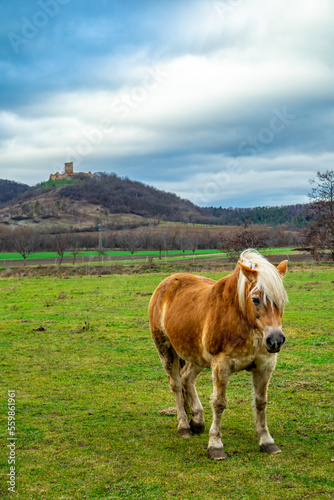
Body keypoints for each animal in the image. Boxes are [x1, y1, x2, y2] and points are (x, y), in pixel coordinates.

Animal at [147, 250, 288, 460]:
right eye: (255, 299)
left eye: (282, 300)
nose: (275, 340)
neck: (240, 319)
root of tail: (167, 282)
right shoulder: (221, 365)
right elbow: (219, 403)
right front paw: (215, 445)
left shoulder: (265, 365)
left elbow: (261, 403)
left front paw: (267, 441)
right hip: (166, 348)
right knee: (176, 384)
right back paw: (184, 426)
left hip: (196, 355)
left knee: (187, 377)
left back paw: (197, 421)